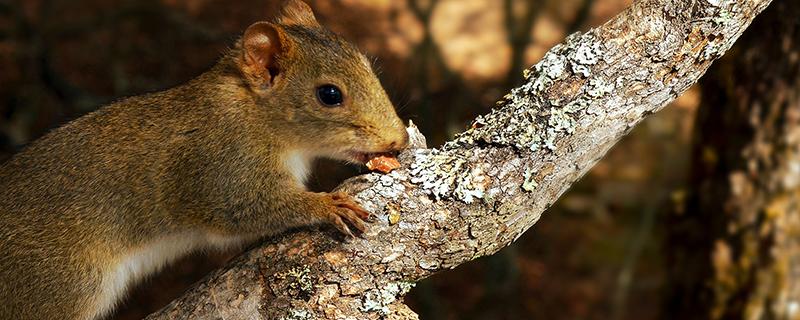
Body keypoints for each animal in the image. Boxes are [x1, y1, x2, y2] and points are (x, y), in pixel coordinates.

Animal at [0, 1, 406, 318]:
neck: (255, 114)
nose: (399, 140)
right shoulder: (222, 167)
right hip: (59, 287)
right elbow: (246, 209)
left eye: (367, 64)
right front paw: (326, 205)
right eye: (329, 94)